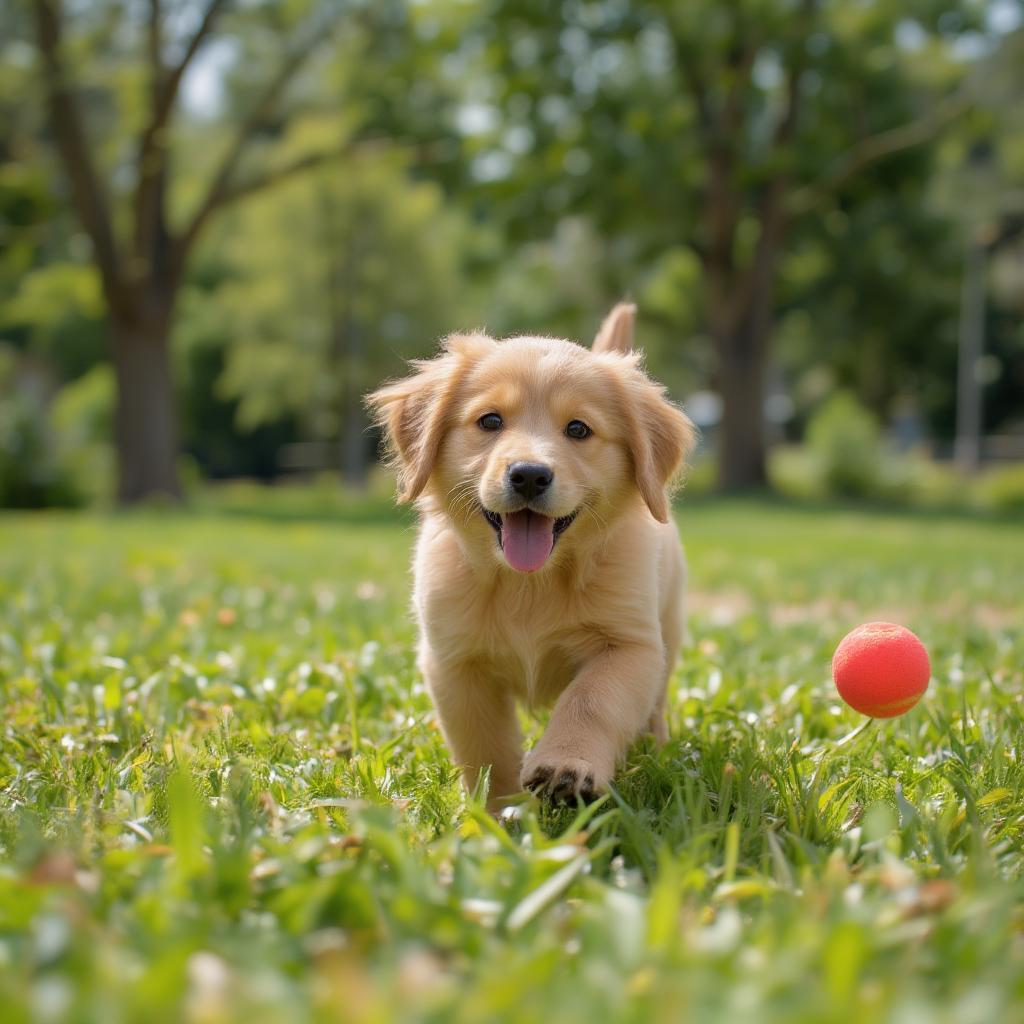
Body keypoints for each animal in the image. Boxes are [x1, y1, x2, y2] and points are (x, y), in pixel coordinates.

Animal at [364, 303, 692, 806]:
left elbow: (591, 700)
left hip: (669, 626)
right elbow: (486, 747)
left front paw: (566, 766)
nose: (530, 475)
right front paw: (498, 811)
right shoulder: (454, 663)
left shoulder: (630, 646)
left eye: (578, 429)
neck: (529, 582)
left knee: (653, 704)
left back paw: (654, 748)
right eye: (490, 421)